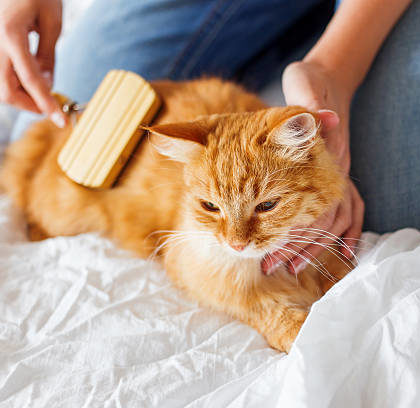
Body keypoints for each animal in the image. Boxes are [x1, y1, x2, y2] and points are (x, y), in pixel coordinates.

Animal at [0, 78, 351, 352]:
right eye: (211, 207)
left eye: (267, 206)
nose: (236, 244)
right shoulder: (204, 277)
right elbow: (273, 313)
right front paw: (305, 334)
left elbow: (340, 277)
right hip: (65, 211)